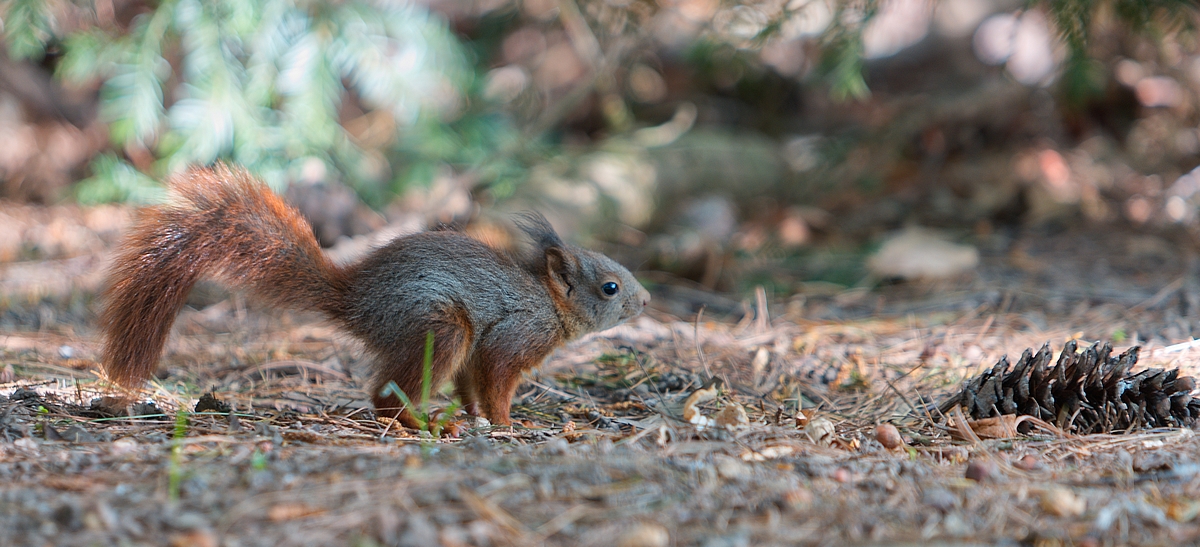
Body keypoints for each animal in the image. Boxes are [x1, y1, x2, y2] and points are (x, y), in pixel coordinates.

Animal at [99, 164, 652, 429]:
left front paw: (478, 417)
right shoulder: (513, 337)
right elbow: (495, 382)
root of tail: (355, 301)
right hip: (440, 328)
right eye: (610, 287)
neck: (550, 306)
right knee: (384, 399)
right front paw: (505, 423)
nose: (646, 302)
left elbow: (471, 386)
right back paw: (419, 422)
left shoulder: (481, 352)